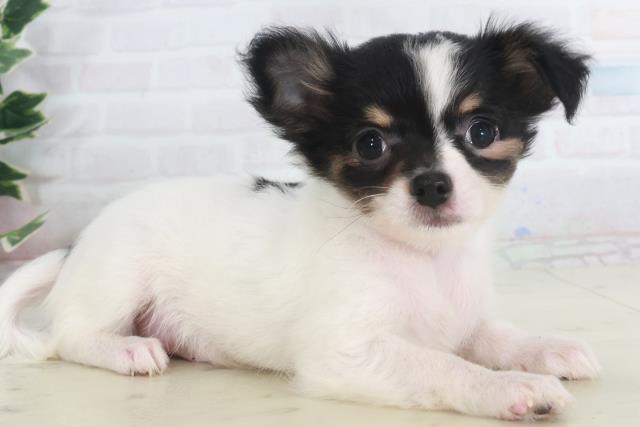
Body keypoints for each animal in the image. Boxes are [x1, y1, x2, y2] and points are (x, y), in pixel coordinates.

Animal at [0, 21, 600, 421]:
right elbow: (445, 367)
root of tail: (77, 247)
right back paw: (127, 349)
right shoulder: (345, 353)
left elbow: (497, 336)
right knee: (69, 336)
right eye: (370, 143)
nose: (432, 184)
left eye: (482, 131)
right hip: (118, 279)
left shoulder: (465, 322)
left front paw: (547, 350)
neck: (423, 260)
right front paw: (516, 388)